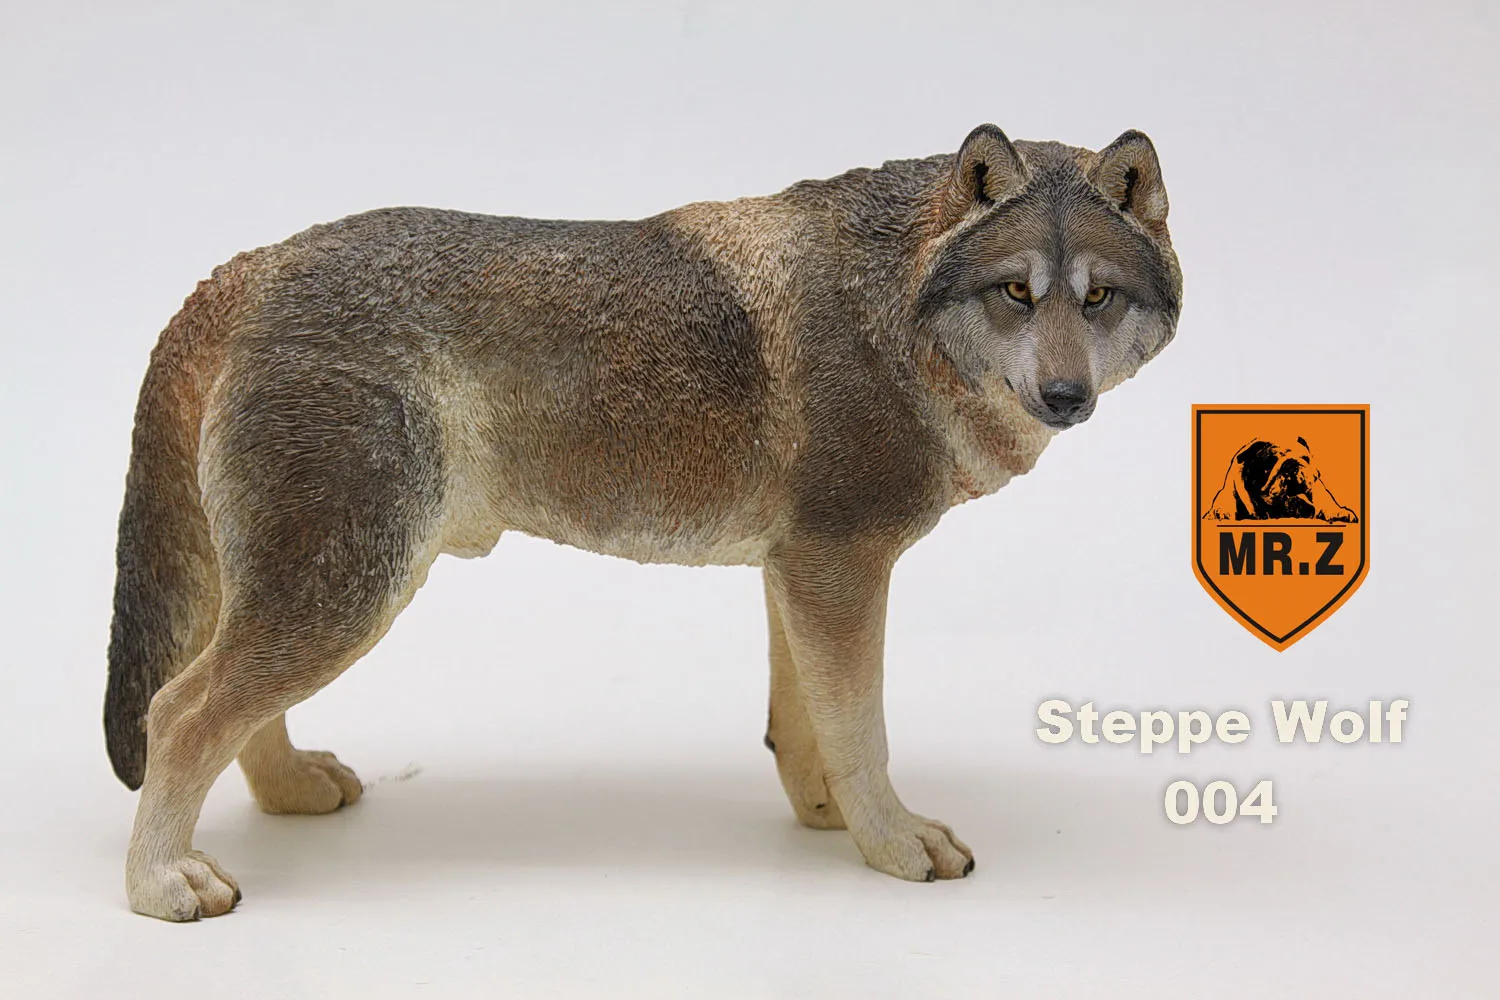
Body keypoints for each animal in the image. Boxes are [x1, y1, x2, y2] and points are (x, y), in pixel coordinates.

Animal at [105, 124, 1181, 920]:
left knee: (232, 710)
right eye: (1015, 293)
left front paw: (827, 822)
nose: (1066, 396)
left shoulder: (801, 571)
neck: (897, 312)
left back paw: (293, 791)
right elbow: (862, 730)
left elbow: (805, 727)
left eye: (1096, 297)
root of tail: (245, 268)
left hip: (314, 590)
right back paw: (161, 884)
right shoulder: (842, 565)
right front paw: (892, 842)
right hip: (346, 591)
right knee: (180, 711)